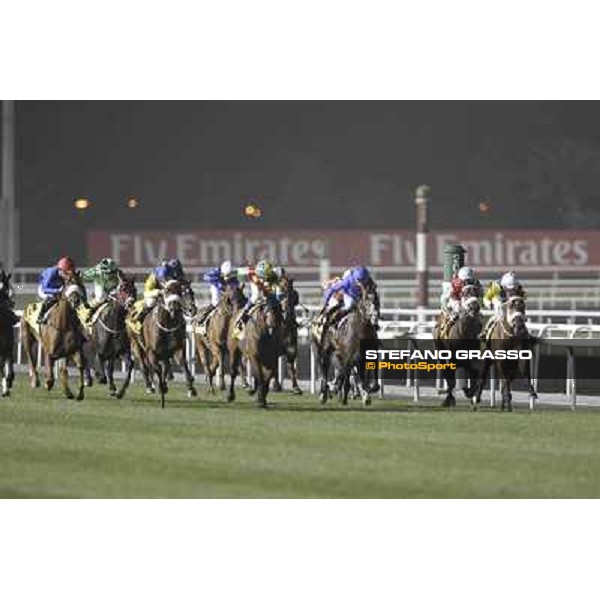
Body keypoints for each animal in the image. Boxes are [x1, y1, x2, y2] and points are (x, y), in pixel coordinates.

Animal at [141, 280, 196, 408]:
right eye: (167, 291)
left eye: (191, 293)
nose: (191, 309)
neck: (167, 324)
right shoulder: (151, 352)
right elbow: (157, 368)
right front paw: (161, 388)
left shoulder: (177, 349)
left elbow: (183, 365)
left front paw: (191, 388)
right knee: (148, 366)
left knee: (166, 366)